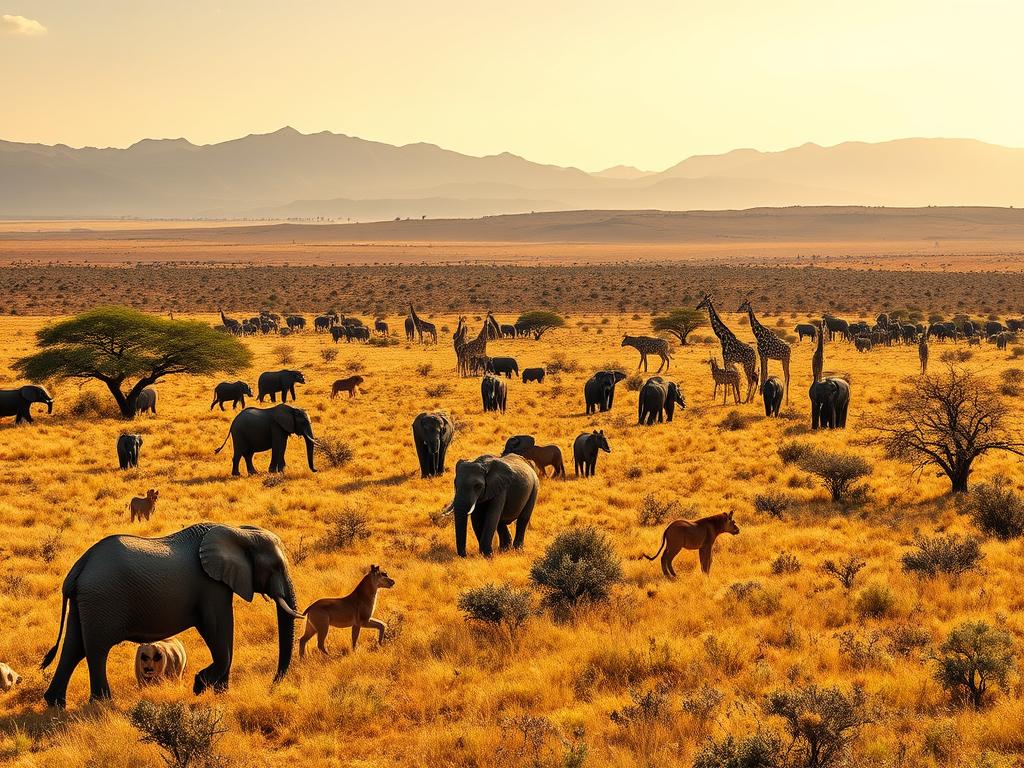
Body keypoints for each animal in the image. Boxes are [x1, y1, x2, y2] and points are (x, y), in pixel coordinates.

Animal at [40, 522, 301, 706]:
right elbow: (219, 632)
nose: (272, 686)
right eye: (276, 567)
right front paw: (199, 686)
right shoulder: (211, 586)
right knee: (96, 649)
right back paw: (102, 703)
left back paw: (55, 703)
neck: (238, 532)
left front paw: (219, 693)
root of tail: (79, 566)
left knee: (74, 647)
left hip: (85, 602)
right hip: (101, 599)